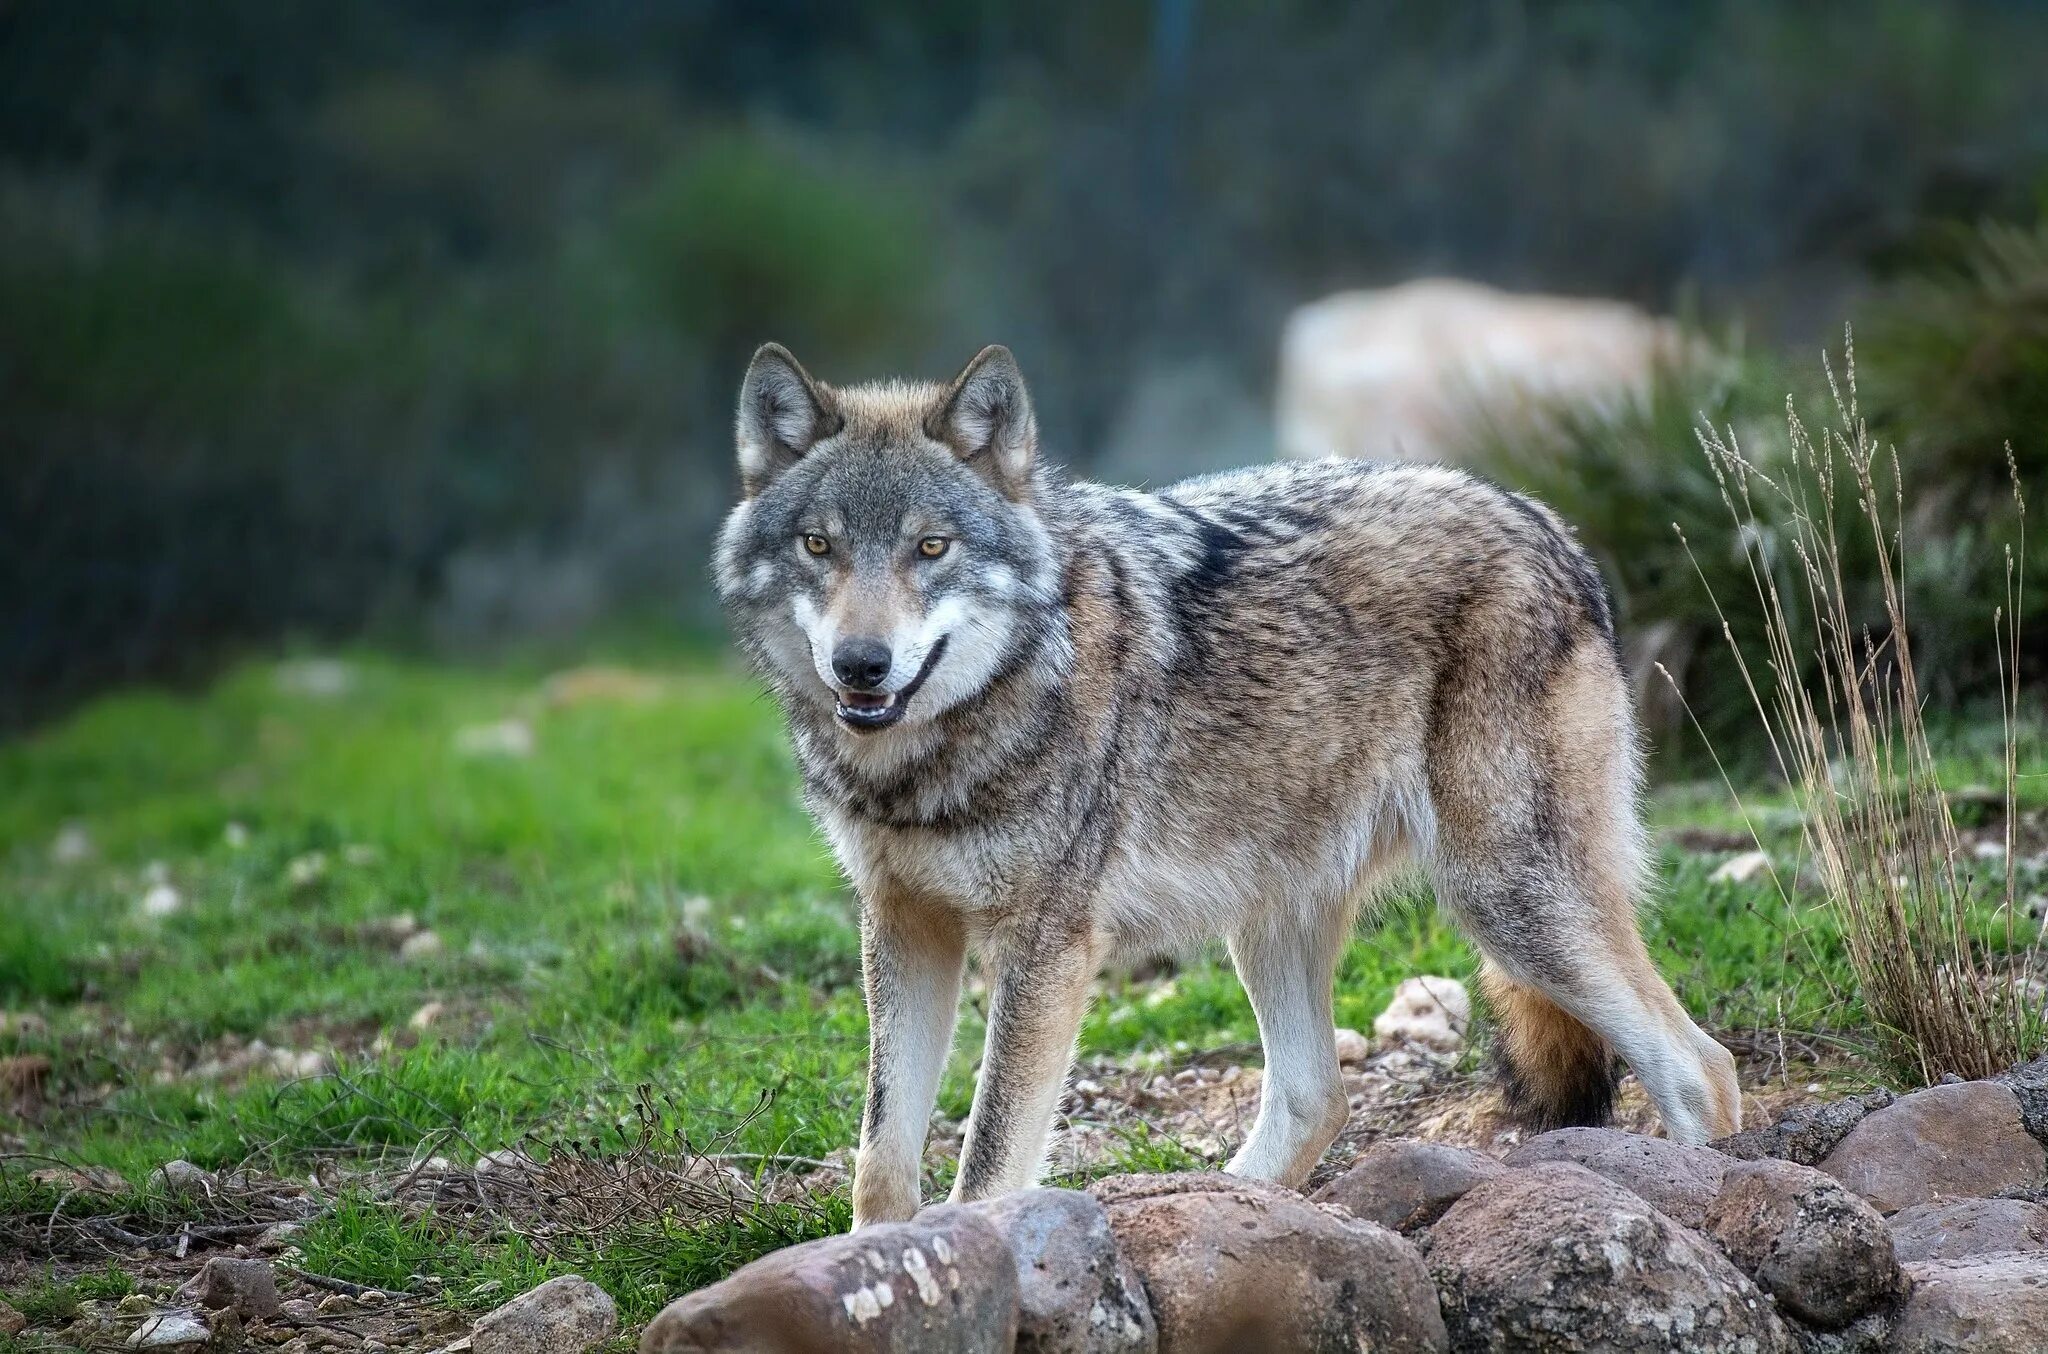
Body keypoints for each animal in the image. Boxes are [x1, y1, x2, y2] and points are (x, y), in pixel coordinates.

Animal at [716, 340, 1744, 1229]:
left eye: (931, 549)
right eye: (818, 546)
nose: (861, 665)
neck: (936, 756)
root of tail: (1550, 526)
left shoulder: (1046, 947)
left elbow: (986, 1162)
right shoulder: (902, 925)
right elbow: (882, 1162)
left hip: (1507, 903)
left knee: (1701, 1066)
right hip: (1275, 920)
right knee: (1316, 1098)